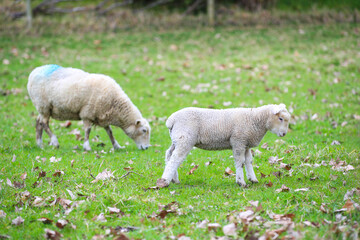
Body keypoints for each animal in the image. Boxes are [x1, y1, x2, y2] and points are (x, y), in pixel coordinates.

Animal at [156, 104, 292, 188]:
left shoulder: (246, 144)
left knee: (169, 155)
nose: (284, 134)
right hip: (185, 138)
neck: (255, 119)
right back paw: (165, 181)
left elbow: (249, 161)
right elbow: (240, 162)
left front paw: (253, 179)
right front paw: (241, 181)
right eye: (280, 118)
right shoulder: (238, 141)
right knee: (175, 159)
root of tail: (171, 120)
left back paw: (174, 179)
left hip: (177, 139)